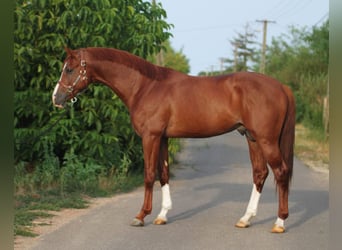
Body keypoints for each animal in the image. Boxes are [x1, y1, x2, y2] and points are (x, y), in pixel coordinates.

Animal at [52, 47, 296, 232]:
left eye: (70, 69)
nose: (56, 98)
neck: (145, 87)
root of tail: (282, 87)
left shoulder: (150, 137)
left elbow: (149, 174)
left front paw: (141, 216)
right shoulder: (162, 138)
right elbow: (164, 174)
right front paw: (162, 215)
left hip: (266, 140)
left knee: (281, 172)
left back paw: (279, 222)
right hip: (252, 138)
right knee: (260, 174)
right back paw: (245, 219)